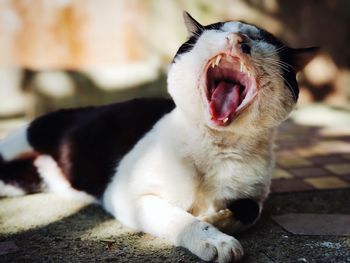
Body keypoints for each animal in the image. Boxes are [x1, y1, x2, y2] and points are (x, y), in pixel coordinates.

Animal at [0, 11, 318, 262]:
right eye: (218, 30)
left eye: (261, 39)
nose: (238, 38)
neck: (216, 145)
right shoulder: (126, 194)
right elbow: (180, 218)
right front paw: (213, 238)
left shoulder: (254, 195)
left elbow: (250, 210)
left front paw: (216, 219)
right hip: (30, 135)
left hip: (23, 179)